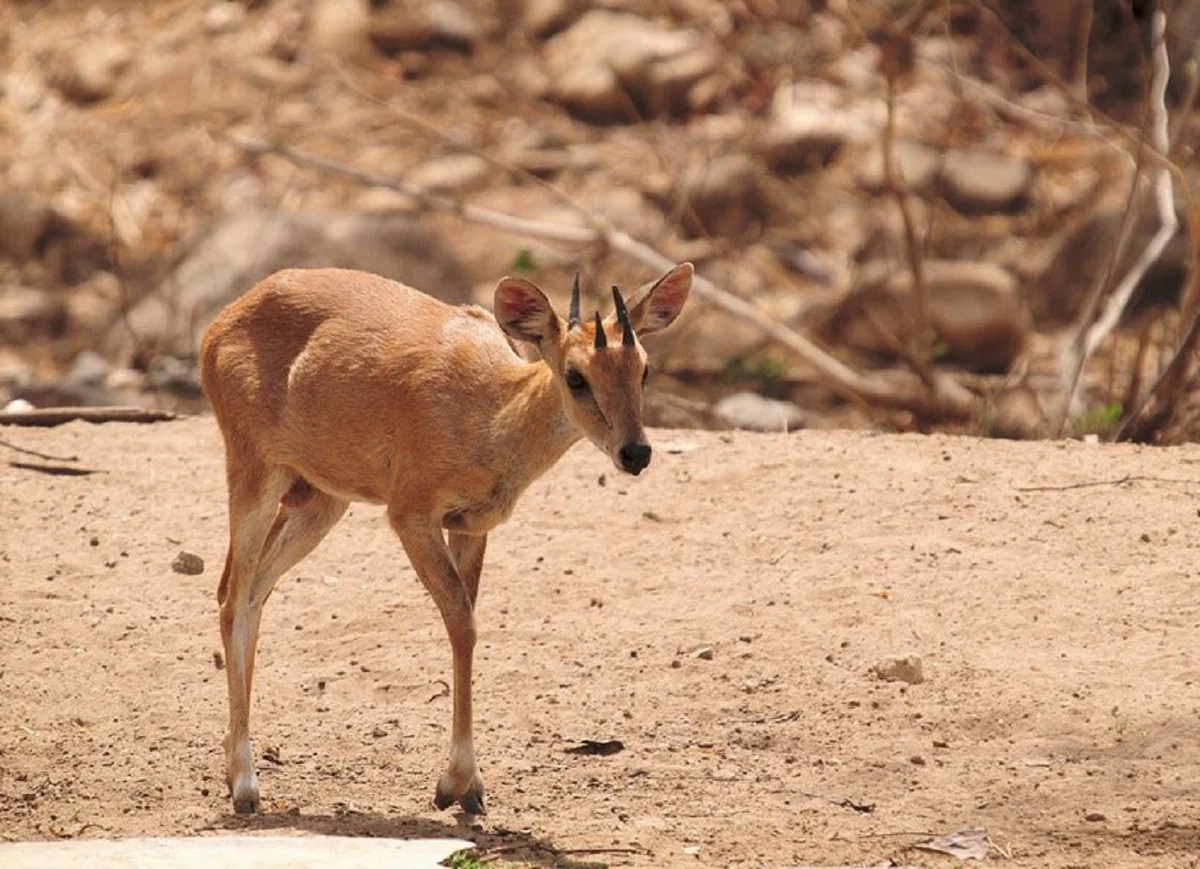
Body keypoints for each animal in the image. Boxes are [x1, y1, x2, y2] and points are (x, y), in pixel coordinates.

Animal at [199, 259, 696, 816]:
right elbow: (462, 623)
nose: (636, 453)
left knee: (251, 593)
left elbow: (467, 624)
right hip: (254, 474)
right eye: (576, 376)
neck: (489, 414)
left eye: (644, 369)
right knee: (233, 599)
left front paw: (469, 789)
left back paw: (232, 764)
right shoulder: (410, 514)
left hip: (320, 501)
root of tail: (218, 327)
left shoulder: (471, 526)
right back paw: (245, 785)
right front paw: (456, 782)